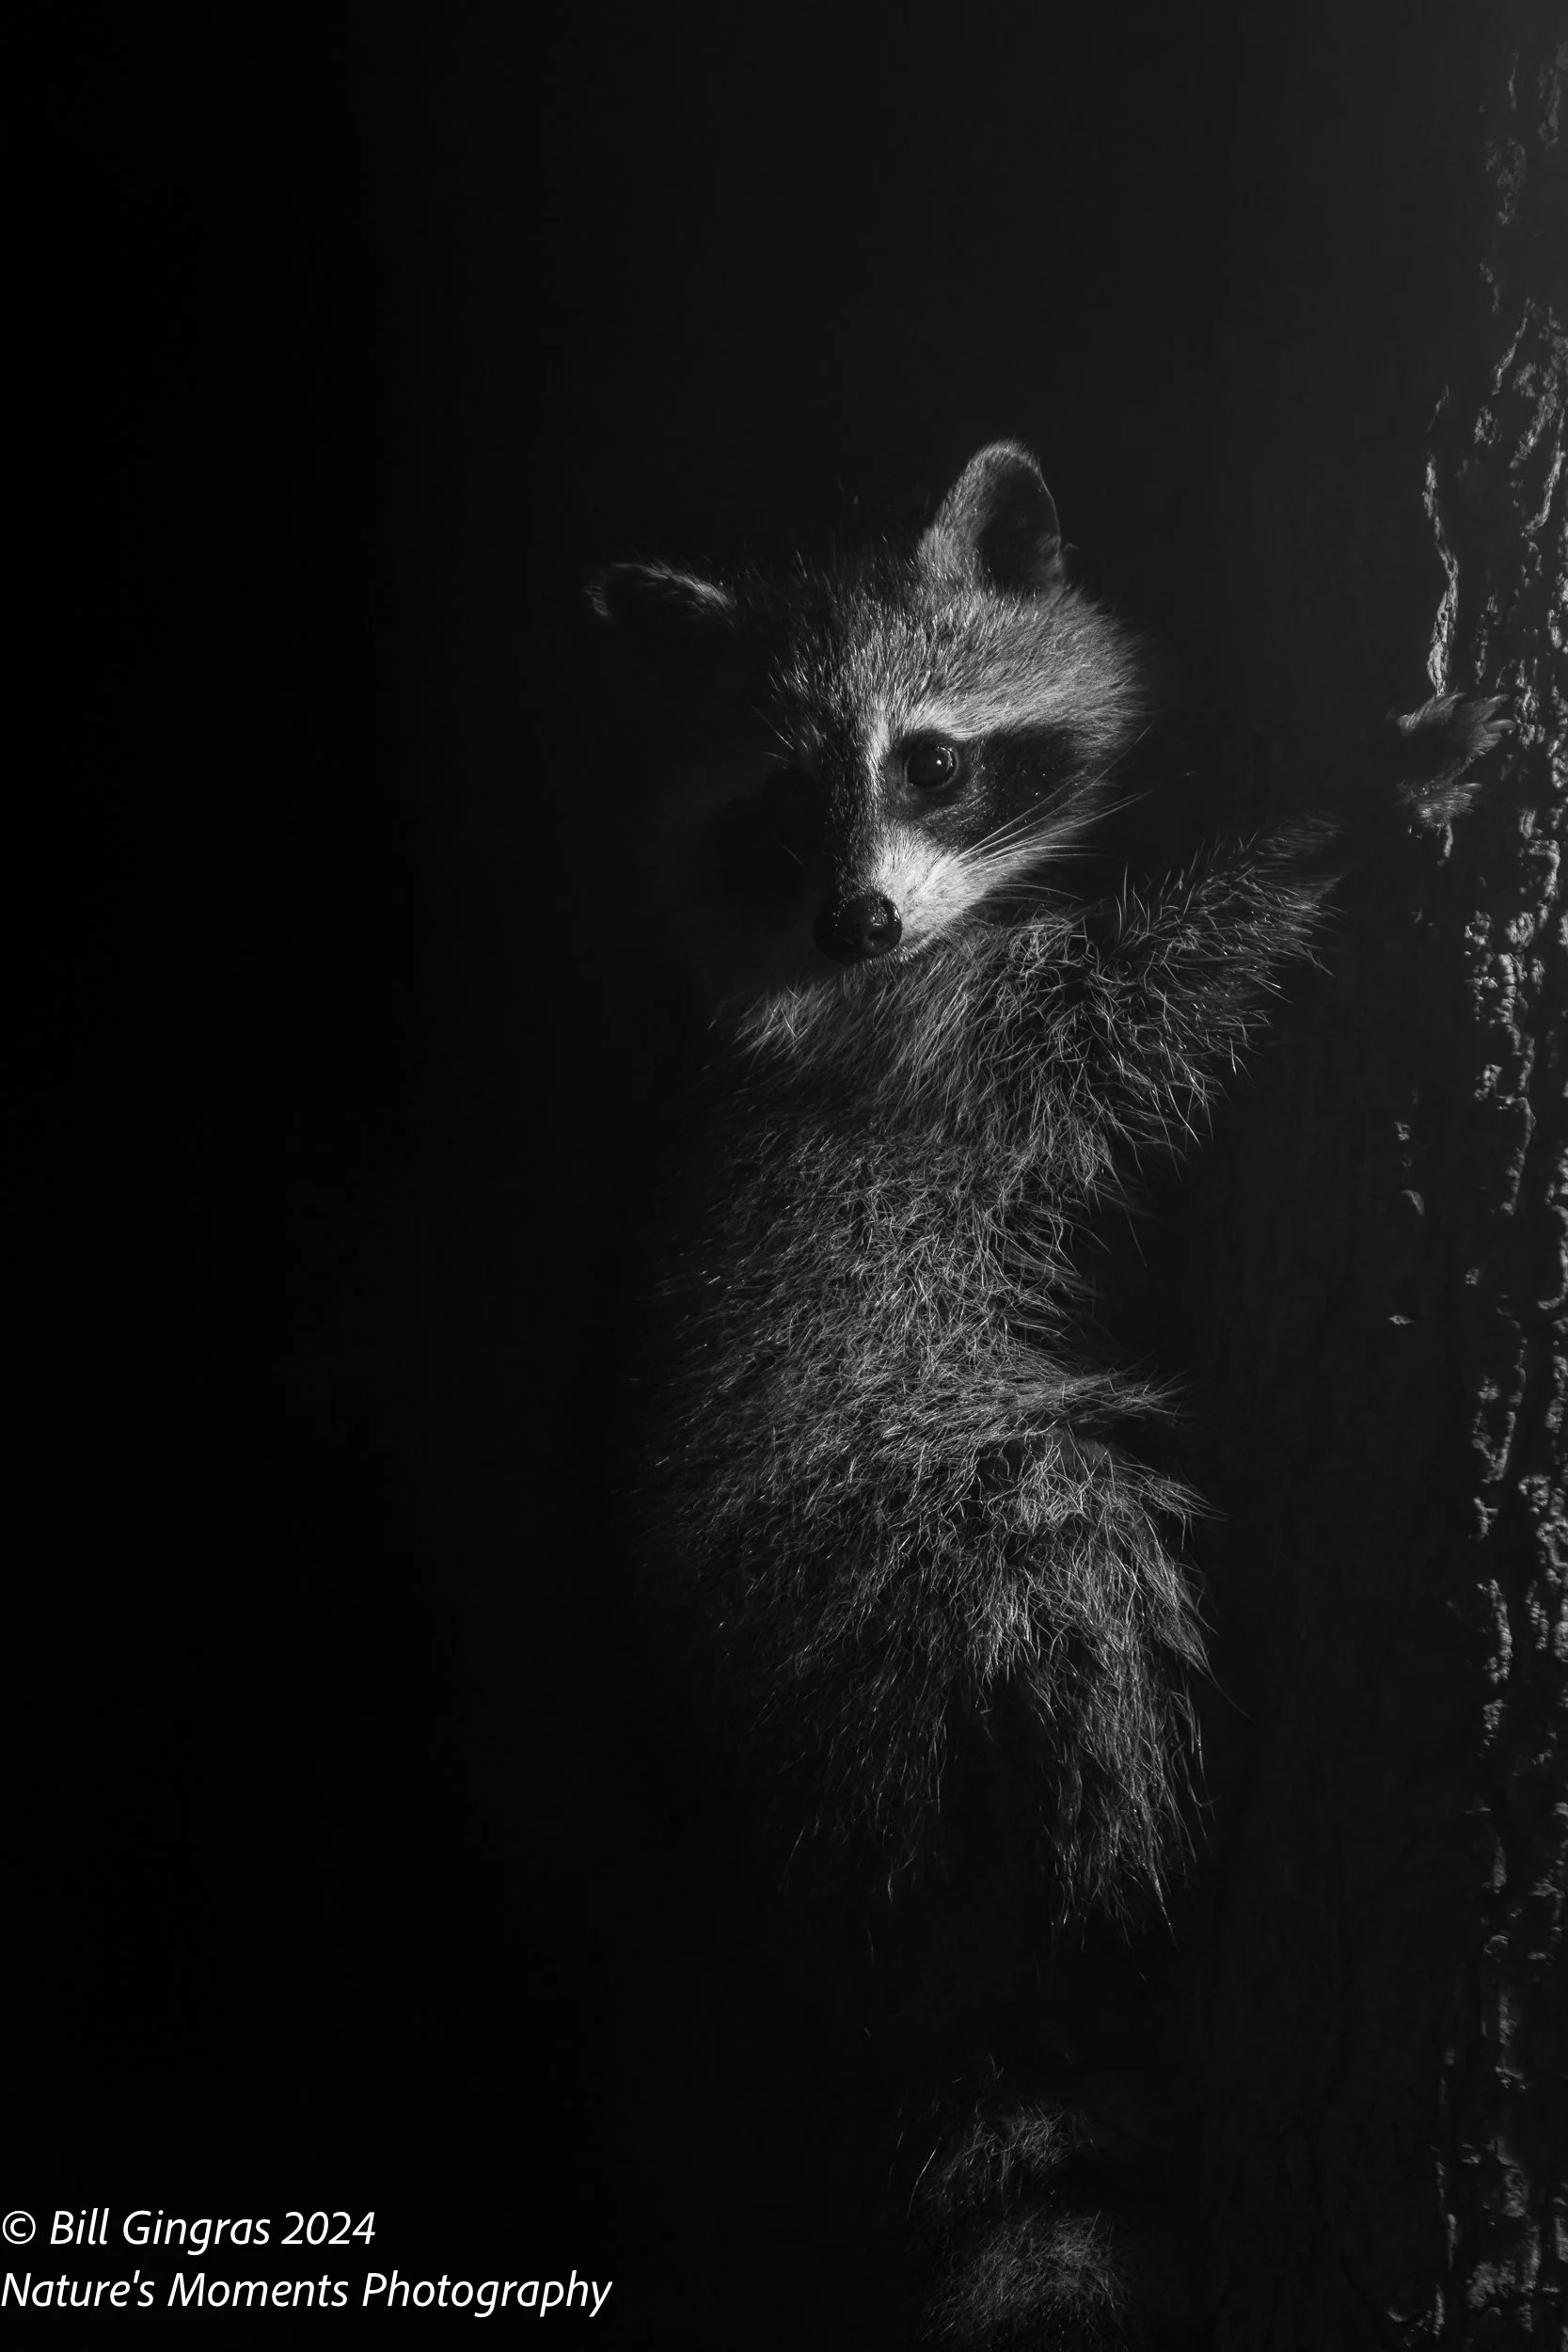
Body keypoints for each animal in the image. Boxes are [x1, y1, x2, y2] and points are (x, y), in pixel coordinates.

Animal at [591, 444, 1503, 2347]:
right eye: (778, 807)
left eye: (929, 762)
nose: (857, 915)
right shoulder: (929, 1047)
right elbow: (1123, 1022)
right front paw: (1320, 826)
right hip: (892, 1507)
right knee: (1064, 1546)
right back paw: (1135, 1848)